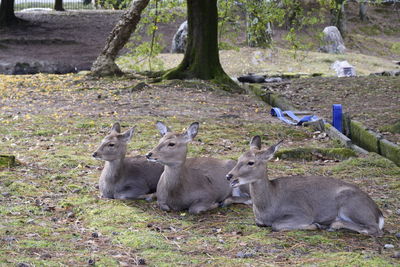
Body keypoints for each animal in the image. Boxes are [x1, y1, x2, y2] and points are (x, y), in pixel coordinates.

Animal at [225, 137, 384, 238]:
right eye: (238, 159)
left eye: (251, 162)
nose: (229, 176)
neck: (269, 205)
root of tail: (379, 214)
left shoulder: (302, 213)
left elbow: (276, 225)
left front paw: (314, 225)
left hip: (352, 206)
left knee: (373, 229)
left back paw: (332, 225)